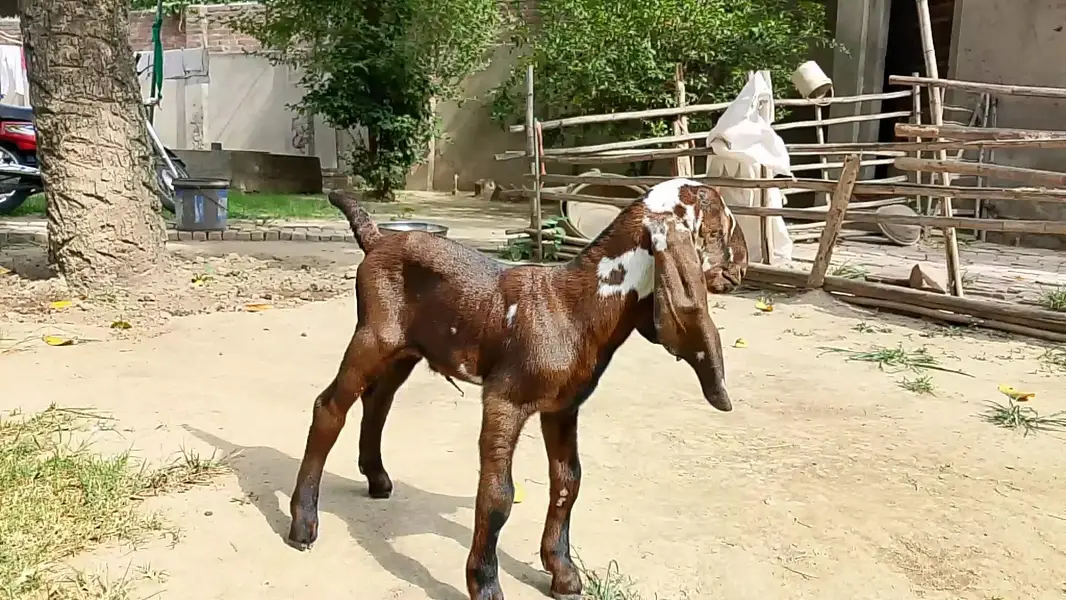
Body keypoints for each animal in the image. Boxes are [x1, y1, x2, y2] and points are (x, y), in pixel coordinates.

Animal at [288, 179, 734, 600]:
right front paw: (485, 583)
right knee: (330, 406)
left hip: (405, 351)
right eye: (718, 231)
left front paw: (563, 572)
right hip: (372, 336)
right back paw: (303, 522)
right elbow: (498, 494)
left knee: (377, 400)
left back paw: (376, 478)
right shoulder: (505, 398)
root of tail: (378, 237)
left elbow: (568, 481)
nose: (736, 270)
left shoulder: (562, 408)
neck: (573, 306)